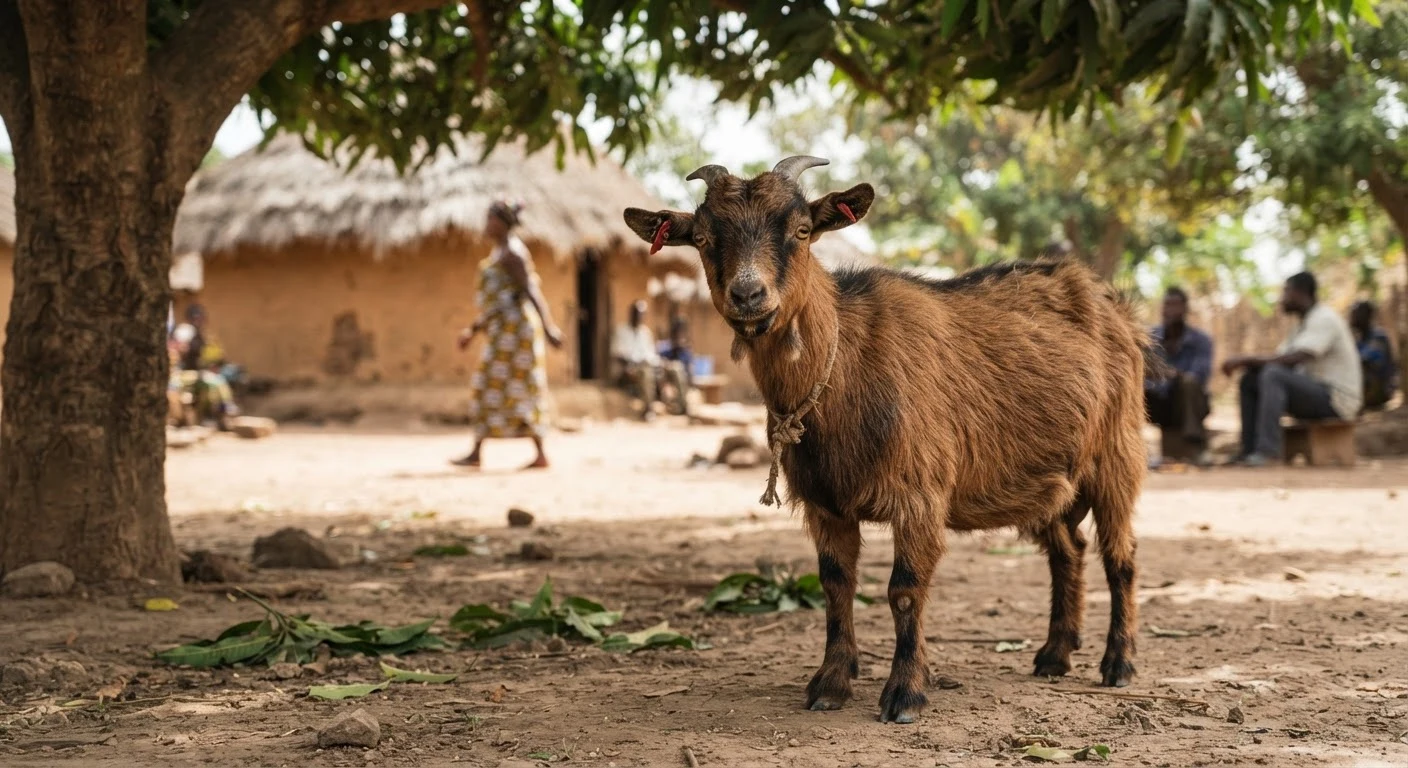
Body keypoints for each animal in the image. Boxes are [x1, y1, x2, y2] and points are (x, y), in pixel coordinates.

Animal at [624, 157, 1151, 724]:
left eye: (802, 231)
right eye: (701, 238)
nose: (748, 296)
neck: (846, 365)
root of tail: (1115, 306)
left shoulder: (920, 496)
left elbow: (904, 589)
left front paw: (904, 693)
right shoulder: (826, 503)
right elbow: (836, 585)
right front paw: (830, 682)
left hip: (1118, 454)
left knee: (1120, 556)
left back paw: (1119, 663)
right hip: (1052, 479)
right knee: (1067, 551)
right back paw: (1054, 654)